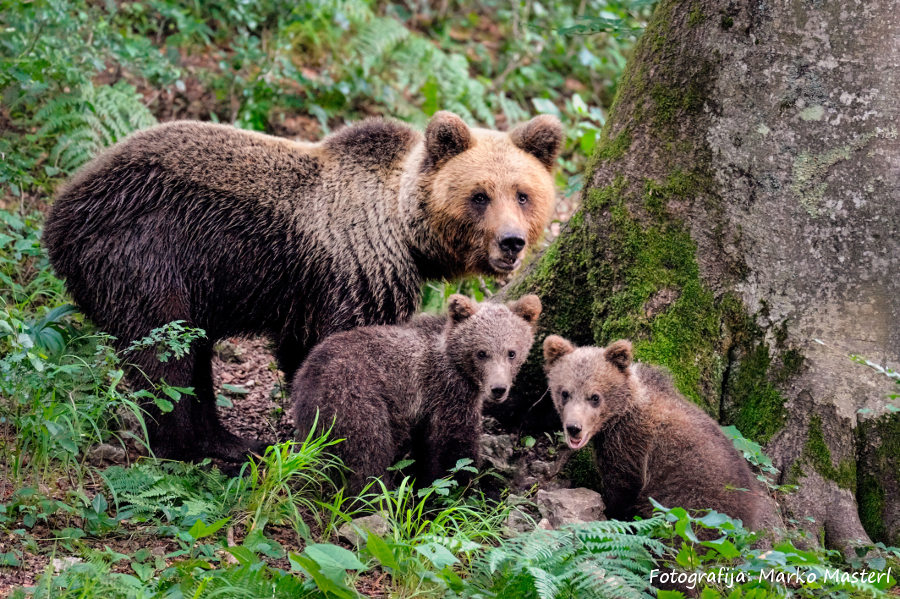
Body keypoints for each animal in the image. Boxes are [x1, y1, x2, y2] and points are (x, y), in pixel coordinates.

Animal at [45, 111, 564, 460]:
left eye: (523, 194)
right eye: (479, 195)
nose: (512, 242)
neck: (403, 232)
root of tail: (61, 213)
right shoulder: (357, 275)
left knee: (193, 355)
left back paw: (231, 441)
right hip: (147, 255)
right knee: (165, 354)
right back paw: (193, 447)